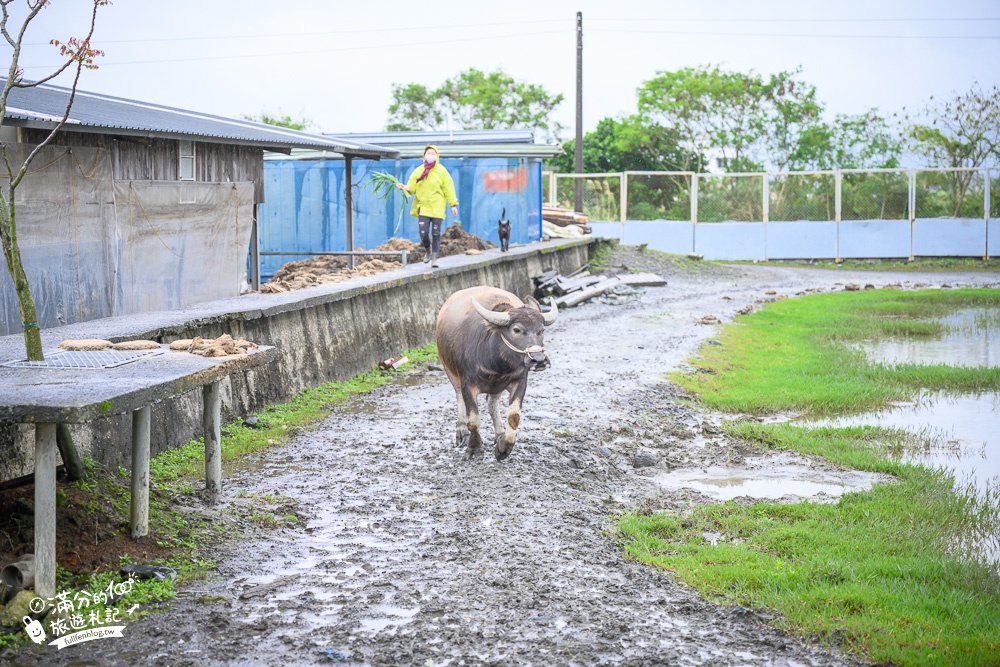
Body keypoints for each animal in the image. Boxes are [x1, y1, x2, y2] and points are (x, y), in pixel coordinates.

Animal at [438, 284, 560, 462]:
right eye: (517, 330)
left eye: (542, 330)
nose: (539, 360)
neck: (496, 364)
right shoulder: (467, 383)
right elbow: (473, 419)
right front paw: (474, 449)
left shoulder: (520, 380)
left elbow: (514, 416)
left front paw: (503, 448)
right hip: (449, 370)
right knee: (459, 397)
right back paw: (462, 432)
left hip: (496, 387)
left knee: (492, 403)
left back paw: (500, 434)